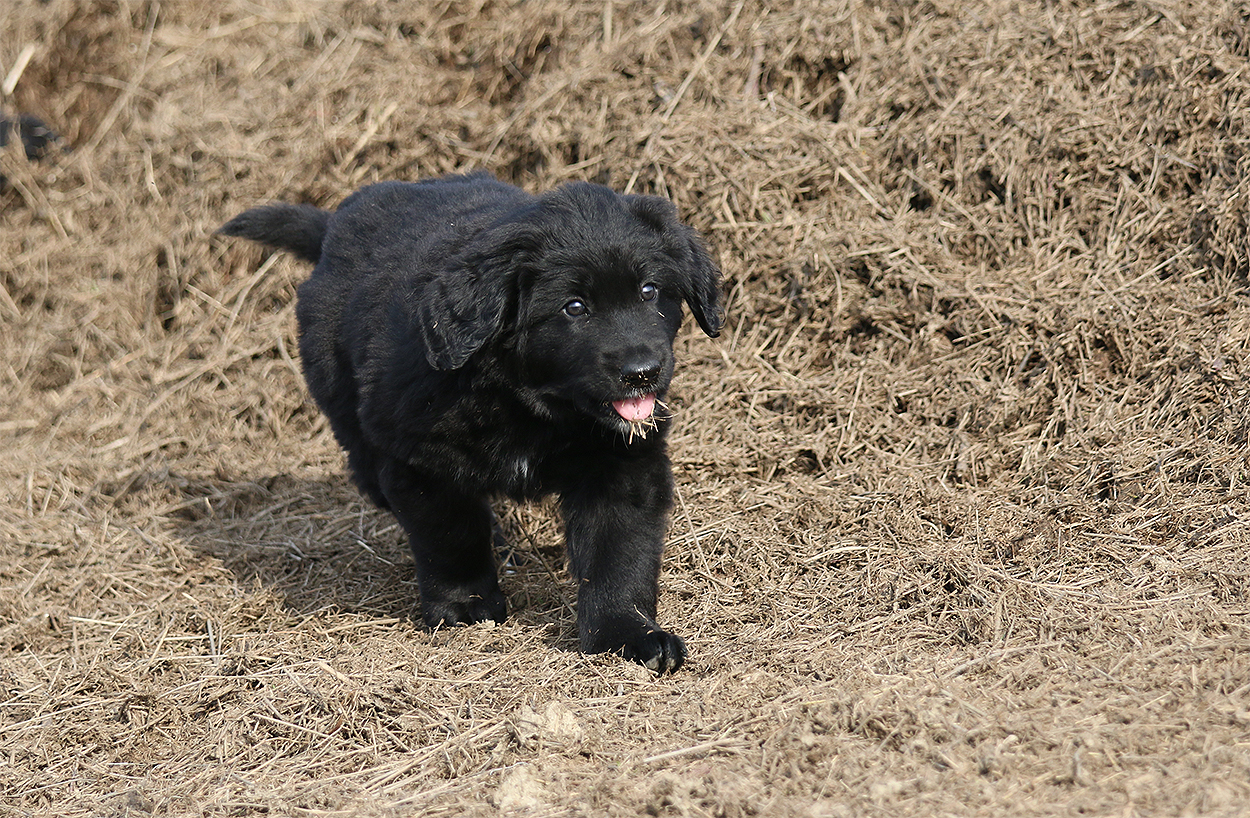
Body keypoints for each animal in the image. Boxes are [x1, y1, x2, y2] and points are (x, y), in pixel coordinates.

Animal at [219, 171, 721, 673]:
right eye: (574, 307)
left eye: (649, 291)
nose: (642, 372)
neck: (531, 404)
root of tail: (331, 229)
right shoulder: (421, 460)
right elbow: (451, 535)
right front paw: (466, 606)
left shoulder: (622, 461)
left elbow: (619, 553)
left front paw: (629, 633)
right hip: (350, 418)